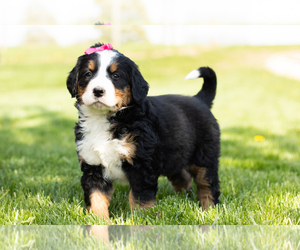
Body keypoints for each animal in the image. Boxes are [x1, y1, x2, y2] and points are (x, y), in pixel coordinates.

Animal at [66, 44, 220, 220]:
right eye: (88, 74)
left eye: (116, 75)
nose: (98, 91)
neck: (106, 118)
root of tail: (199, 99)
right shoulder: (93, 166)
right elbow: (96, 198)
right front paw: (98, 222)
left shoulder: (142, 166)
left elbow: (140, 199)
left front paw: (142, 220)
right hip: (174, 155)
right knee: (182, 178)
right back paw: (182, 200)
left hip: (204, 157)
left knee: (207, 184)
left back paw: (208, 211)